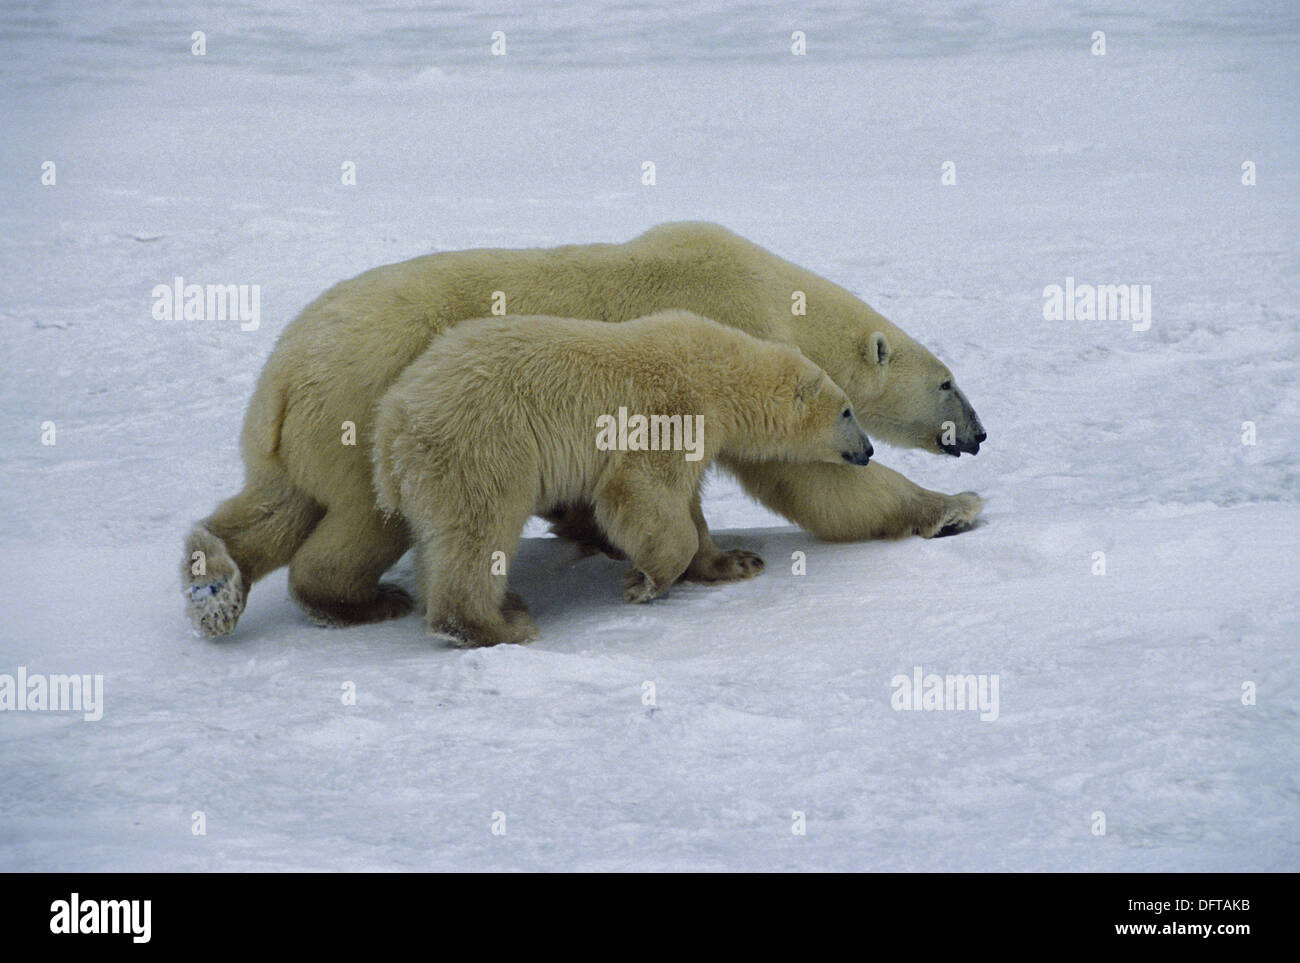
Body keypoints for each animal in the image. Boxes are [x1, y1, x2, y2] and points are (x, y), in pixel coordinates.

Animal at [371, 311, 874, 647]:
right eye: (847, 411)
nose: (868, 451)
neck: (716, 371)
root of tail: (392, 418)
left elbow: (688, 505)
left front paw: (737, 561)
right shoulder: (669, 411)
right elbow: (639, 491)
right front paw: (643, 582)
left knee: (440, 538)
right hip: (482, 444)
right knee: (480, 531)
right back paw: (498, 624)